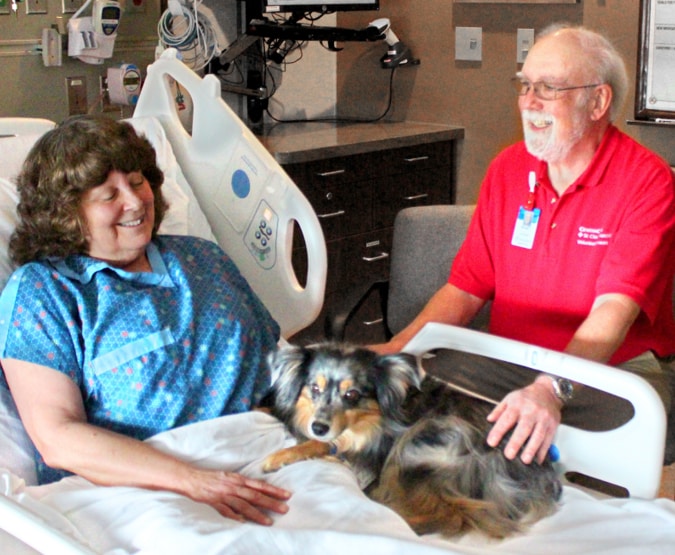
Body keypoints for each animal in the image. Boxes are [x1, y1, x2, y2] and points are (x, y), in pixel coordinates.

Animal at [262, 340, 564, 540]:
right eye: (314, 388)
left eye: (352, 395)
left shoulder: (375, 446)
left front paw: (279, 457)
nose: (319, 426)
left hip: (427, 438)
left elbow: (325, 445)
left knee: (452, 516)